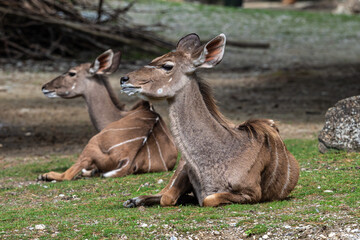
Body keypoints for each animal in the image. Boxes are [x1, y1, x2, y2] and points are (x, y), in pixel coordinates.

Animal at [38, 49, 178, 180]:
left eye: (72, 73)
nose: (44, 87)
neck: (121, 114)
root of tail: (128, 160)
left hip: (91, 144)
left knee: (68, 175)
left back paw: (46, 175)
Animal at [122, 32, 300, 207]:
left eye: (167, 66)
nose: (124, 79)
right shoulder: (185, 171)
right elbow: (167, 197)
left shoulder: (252, 193)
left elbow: (208, 199)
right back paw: (132, 200)